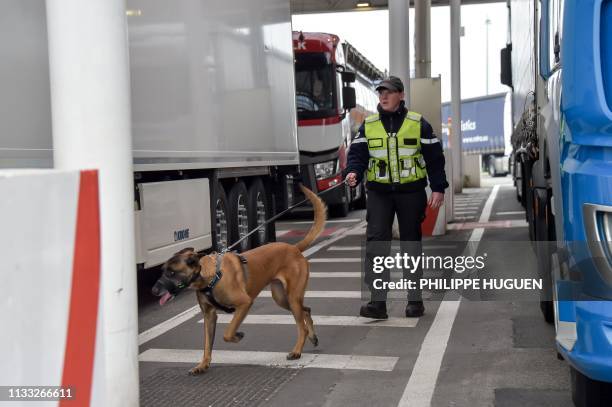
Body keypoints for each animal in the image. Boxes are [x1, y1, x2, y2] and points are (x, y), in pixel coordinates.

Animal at [151, 185, 328, 376]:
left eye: (171, 273)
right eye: (163, 271)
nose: (153, 291)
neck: (210, 277)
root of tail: (294, 249)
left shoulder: (244, 303)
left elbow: (228, 333)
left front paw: (237, 336)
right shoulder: (209, 316)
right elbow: (207, 344)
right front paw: (202, 365)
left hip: (292, 297)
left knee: (301, 324)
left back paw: (297, 351)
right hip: (282, 298)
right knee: (306, 310)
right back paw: (312, 337)